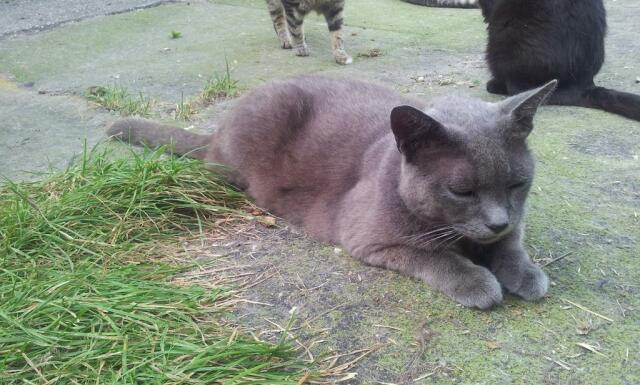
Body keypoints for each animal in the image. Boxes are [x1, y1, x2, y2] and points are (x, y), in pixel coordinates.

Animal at [109, 76, 556, 308]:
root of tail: (217, 130)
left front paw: (527, 273)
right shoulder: (369, 238)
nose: (497, 221)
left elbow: (512, 246)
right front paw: (478, 283)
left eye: (517, 184)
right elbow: (435, 255)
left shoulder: (513, 224)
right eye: (461, 191)